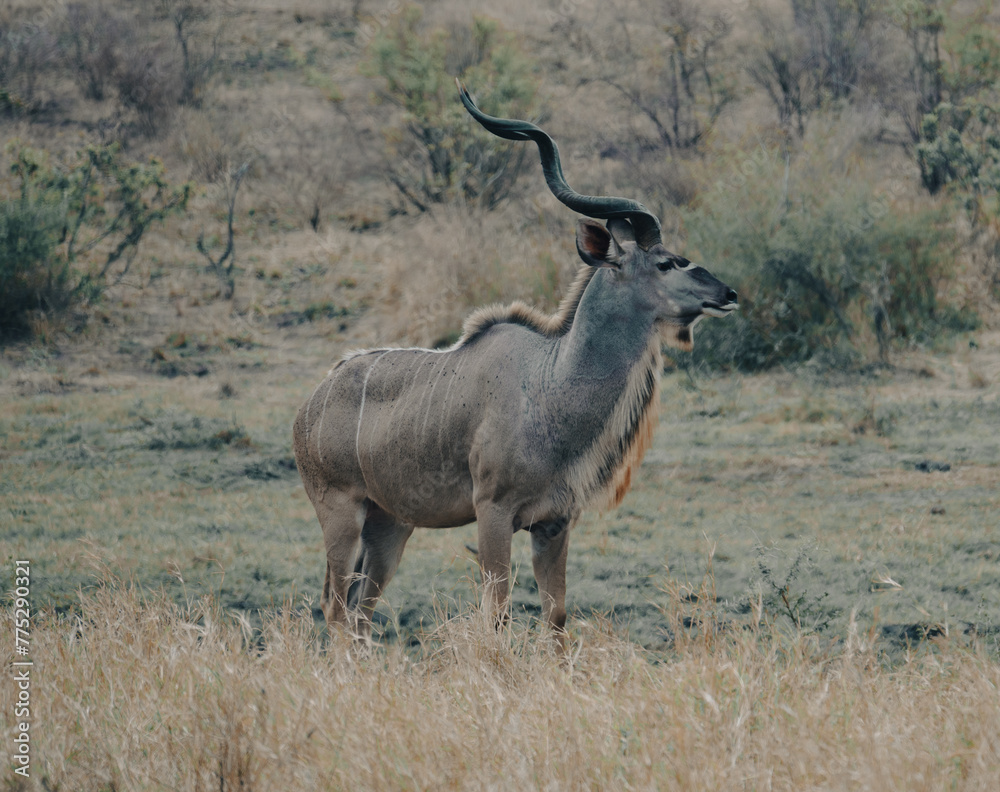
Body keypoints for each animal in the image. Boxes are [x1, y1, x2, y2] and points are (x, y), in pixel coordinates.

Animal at [293, 85, 738, 646]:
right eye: (665, 263)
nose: (728, 293)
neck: (548, 385)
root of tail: (311, 402)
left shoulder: (554, 523)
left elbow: (556, 616)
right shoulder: (493, 511)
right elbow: (499, 613)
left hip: (390, 524)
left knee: (359, 611)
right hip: (341, 514)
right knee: (334, 607)